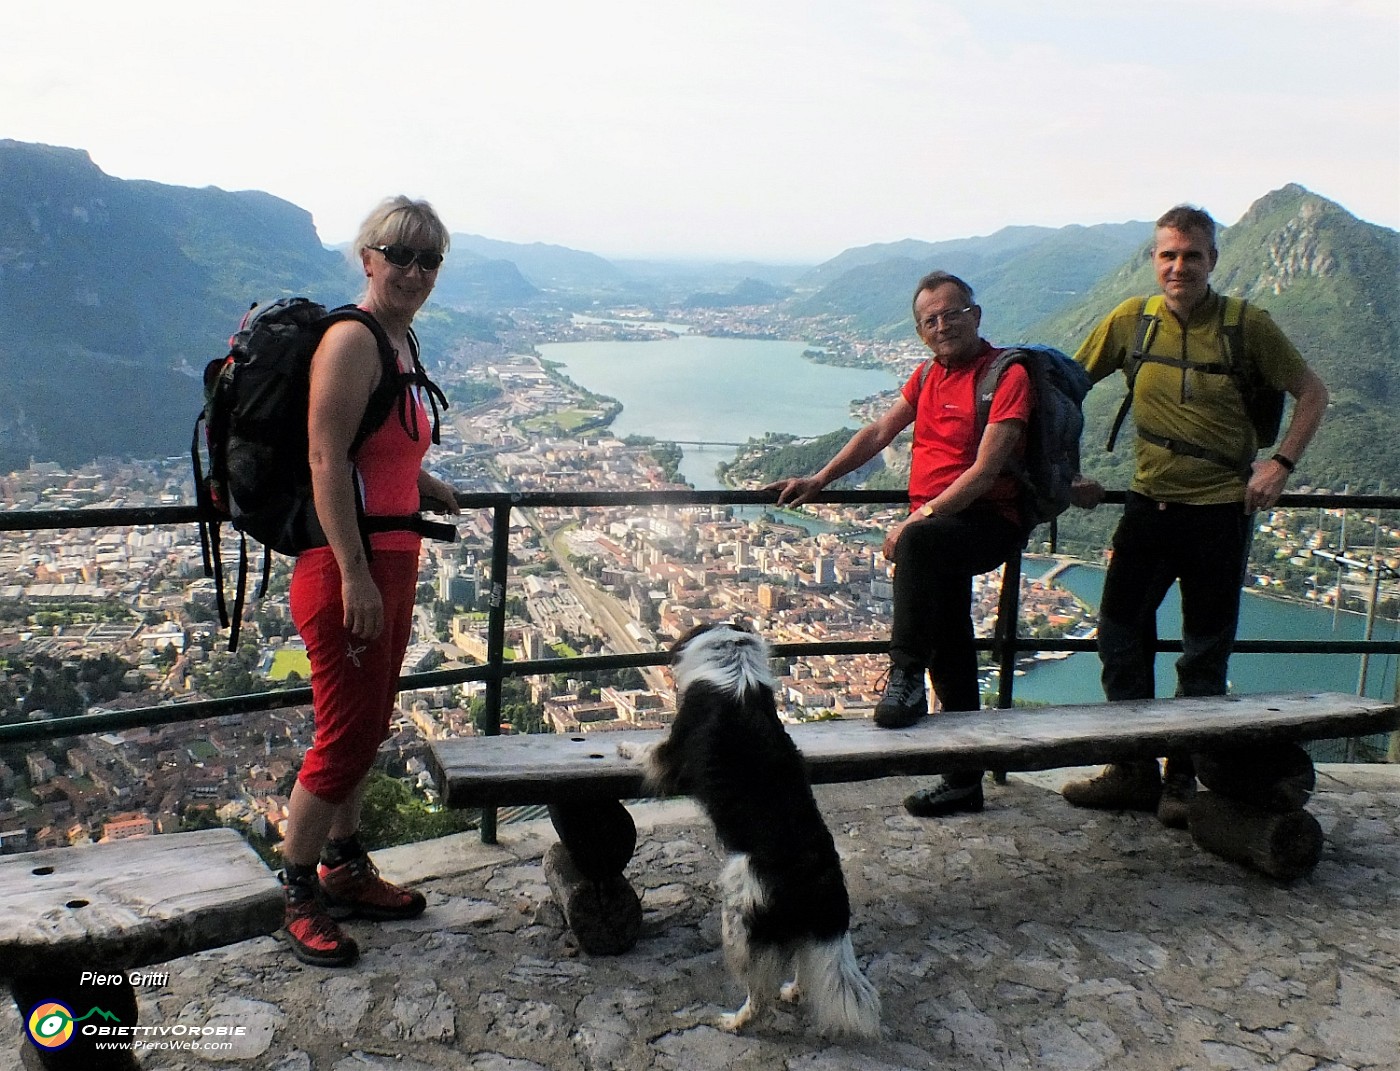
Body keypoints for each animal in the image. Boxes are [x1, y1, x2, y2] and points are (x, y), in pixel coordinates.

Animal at [621, 618, 879, 1036]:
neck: (735, 662)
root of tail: (822, 880)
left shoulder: (671, 753)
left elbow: (647, 750)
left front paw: (624, 747)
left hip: (740, 922)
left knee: (760, 992)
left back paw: (735, 1021)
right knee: (803, 970)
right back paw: (792, 991)